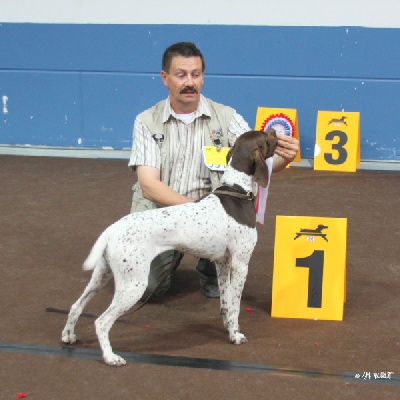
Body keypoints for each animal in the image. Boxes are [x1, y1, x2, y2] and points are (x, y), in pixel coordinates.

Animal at [61, 130, 278, 368]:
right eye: (266, 138)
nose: (276, 132)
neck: (237, 191)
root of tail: (113, 228)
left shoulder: (222, 263)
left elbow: (226, 304)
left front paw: (229, 328)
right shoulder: (240, 264)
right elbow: (236, 305)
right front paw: (235, 336)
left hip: (102, 275)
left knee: (76, 306)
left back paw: (68, 336)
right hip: (134, 285)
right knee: (102, 321)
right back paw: (110, 357)